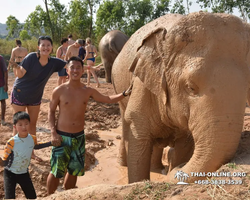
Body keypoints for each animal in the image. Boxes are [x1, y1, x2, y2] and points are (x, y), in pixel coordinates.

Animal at [112, 11, 250, 184]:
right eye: (190, 87)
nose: (174, 169)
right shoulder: (142, 84)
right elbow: (138, 135)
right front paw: (138, 182)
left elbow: (184, 144)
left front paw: (175, 163)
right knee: (125, 120)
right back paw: (124, 164)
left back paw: (158, 169)